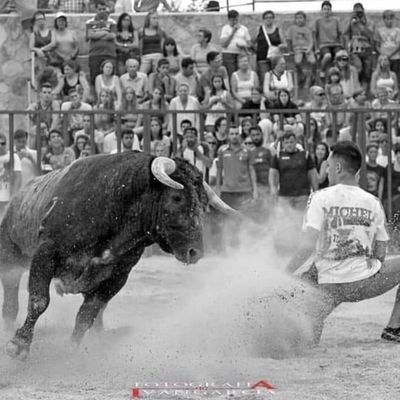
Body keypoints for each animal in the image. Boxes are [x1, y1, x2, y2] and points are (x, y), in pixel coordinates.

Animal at [0, 152, 233, 360]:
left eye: (202, 202)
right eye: (177, 197)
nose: (195, 252)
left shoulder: (118, 276)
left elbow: (87, 314)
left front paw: (71, 351)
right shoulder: (46, 253)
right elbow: (39, 301)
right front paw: (19, 345)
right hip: (10, 259)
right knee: (11, 300)